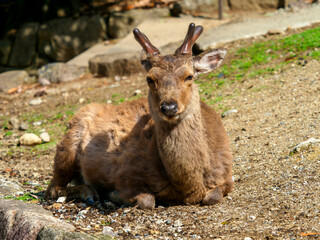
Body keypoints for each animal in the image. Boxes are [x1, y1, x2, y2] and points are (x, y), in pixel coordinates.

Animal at [45, 23, 234, 210]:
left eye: (189, 76)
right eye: (150, 79)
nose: (169, 107)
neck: (189, 187)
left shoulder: (226, 175)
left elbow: (214, 196)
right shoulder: (126, 174)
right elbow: (147, 201)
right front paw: (114, 195)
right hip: (67, 145)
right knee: (52, 188)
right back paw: (90, 193)